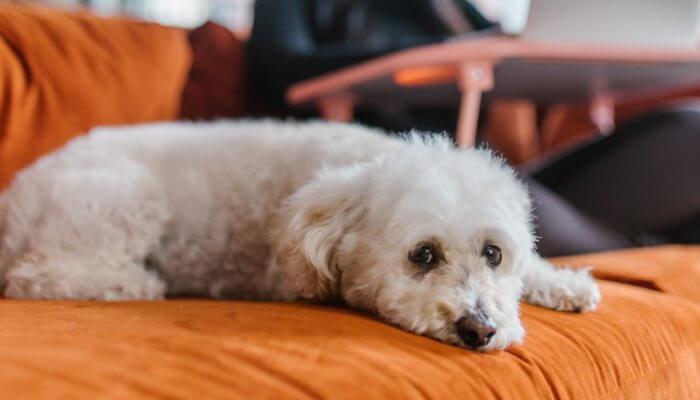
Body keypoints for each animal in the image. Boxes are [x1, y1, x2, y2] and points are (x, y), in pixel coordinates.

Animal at [0, 121, 600, 350]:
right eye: (423, 255)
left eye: (493, 253)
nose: (480, 329)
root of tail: (16, 195)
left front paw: (566, 284)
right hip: (124, 199)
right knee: (37, 275)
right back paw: (137, 283)